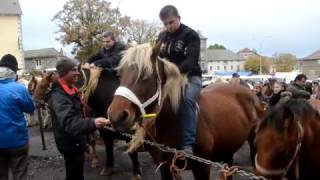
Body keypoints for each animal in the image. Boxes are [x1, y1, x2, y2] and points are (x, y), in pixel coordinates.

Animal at [106, 43, 264, 180]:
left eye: (145, 75)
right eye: (120, 75)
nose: (116, 115)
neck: (172, 121)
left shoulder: (202, 167)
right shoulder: (165, 166)